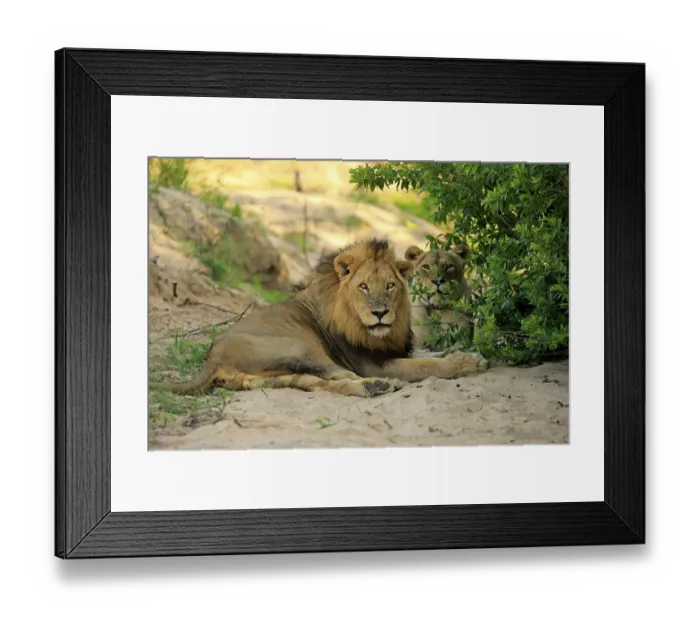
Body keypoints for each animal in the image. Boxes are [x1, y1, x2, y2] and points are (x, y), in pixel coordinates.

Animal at [155, 239, 488, 398]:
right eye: (363, 286)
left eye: (390, 286)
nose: (380, 312)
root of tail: (211, 358)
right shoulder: (370, 361)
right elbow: (426, 365)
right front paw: (468, 362)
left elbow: (427, 353)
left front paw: (459, 351)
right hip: (300, 347)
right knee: (341, 376)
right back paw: (379, 385)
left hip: (272, 375)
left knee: (318, 383)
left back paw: (372, 388)